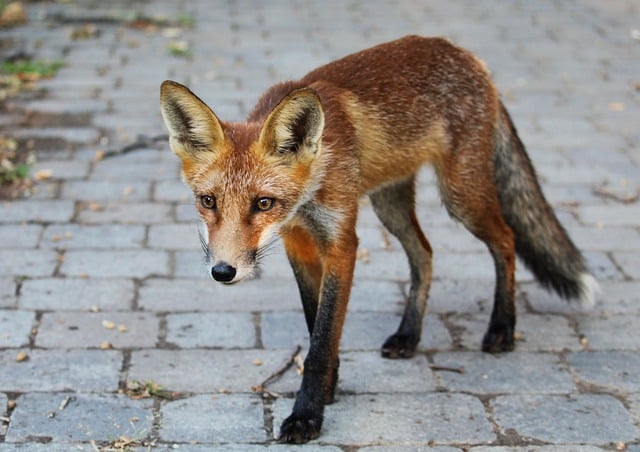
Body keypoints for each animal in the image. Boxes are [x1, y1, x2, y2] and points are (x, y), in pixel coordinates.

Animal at [160, 36, 600, 444]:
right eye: (208, 201)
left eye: (263, 203)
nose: (223, 271)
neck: (312, 187)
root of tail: (465, 54)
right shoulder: (297, 244)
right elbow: (314, 324)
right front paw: (329, 388)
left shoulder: (341, 243)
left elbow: (322, 340)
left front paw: (307, 414)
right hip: (390, 204)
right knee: (425, 254)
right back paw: (409, 335)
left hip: (462, 197)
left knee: (506, 240)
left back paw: (502, 328)